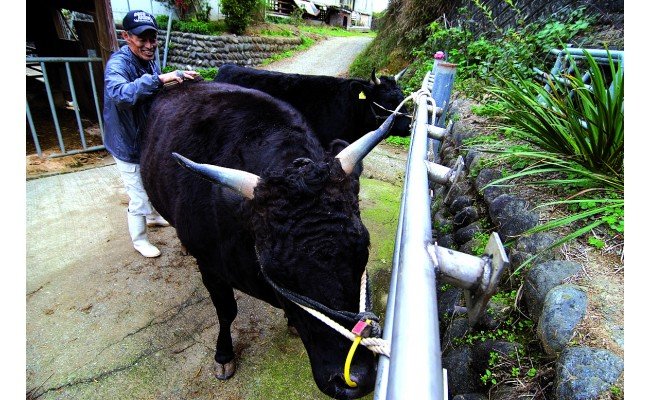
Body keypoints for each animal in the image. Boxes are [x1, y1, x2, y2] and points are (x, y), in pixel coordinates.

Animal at [141, 82, 394, 400]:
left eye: (364, 249)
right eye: (276, 271)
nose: (354, 380)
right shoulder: (210, 266)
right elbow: (226, 311)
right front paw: (224, 356)